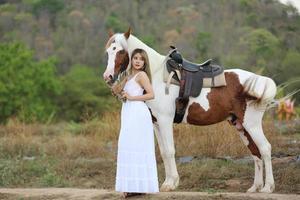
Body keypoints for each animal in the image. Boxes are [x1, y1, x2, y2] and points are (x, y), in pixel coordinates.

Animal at [103, 28, 276, 194]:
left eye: (120, 51)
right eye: (108, 51)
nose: (108, 76)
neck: (158, 76)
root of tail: (259, 80)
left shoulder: (165, 121)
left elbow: (170, 151)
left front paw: (171, 184)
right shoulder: (156, 123)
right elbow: (164, 152)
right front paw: (167, 183)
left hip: (251, 124)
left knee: (265, 149)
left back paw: (268, 187)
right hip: (240, 125)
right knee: (255, 152)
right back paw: (255, 187)